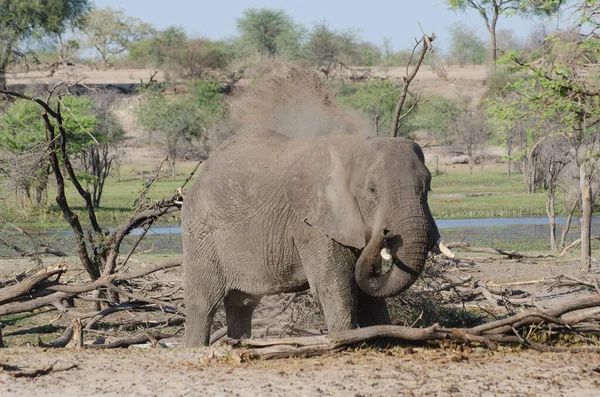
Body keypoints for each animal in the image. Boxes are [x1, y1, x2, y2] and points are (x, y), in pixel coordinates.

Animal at [180, 128, 438, 344]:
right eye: (372, 190)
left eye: (428, 186)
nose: (384, 233)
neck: (352, 148)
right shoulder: (312, 225)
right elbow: (337, 288)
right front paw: (346, 342)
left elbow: (369, 296)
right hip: (201, 234)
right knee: (203, 304)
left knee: (242, 304)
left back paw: (239, 344)